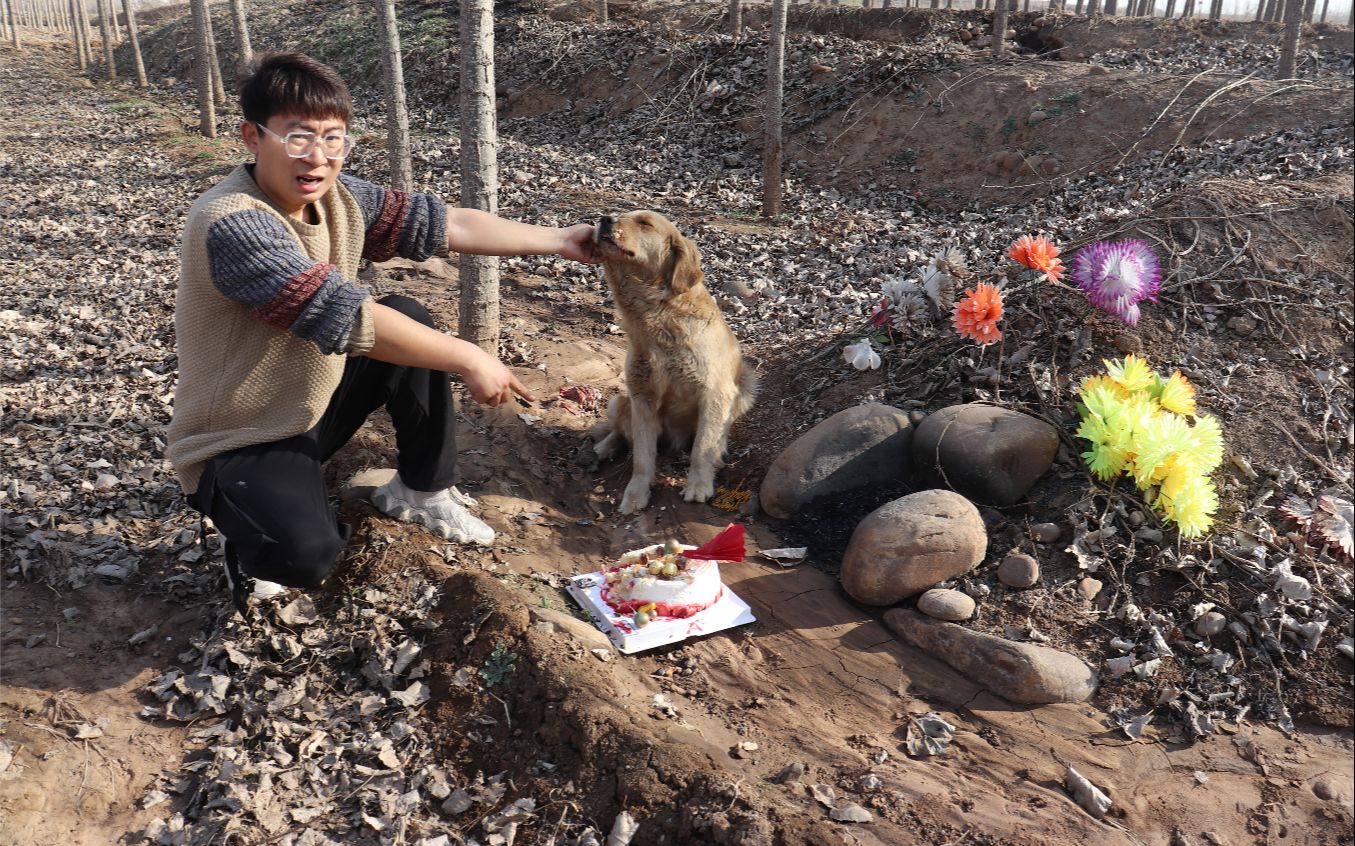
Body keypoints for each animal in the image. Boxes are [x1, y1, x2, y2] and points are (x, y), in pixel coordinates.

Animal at [593, 211, 764, 515]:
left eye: (644, 223)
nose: (604, 219)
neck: (658, 313)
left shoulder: (716, 394)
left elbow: (702, 447)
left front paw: (698, 485)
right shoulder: (642, 397)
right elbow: (642, 457)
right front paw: (635, 495)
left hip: (745, 390)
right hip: (619, 400)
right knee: (620, 430)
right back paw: (605, 447)